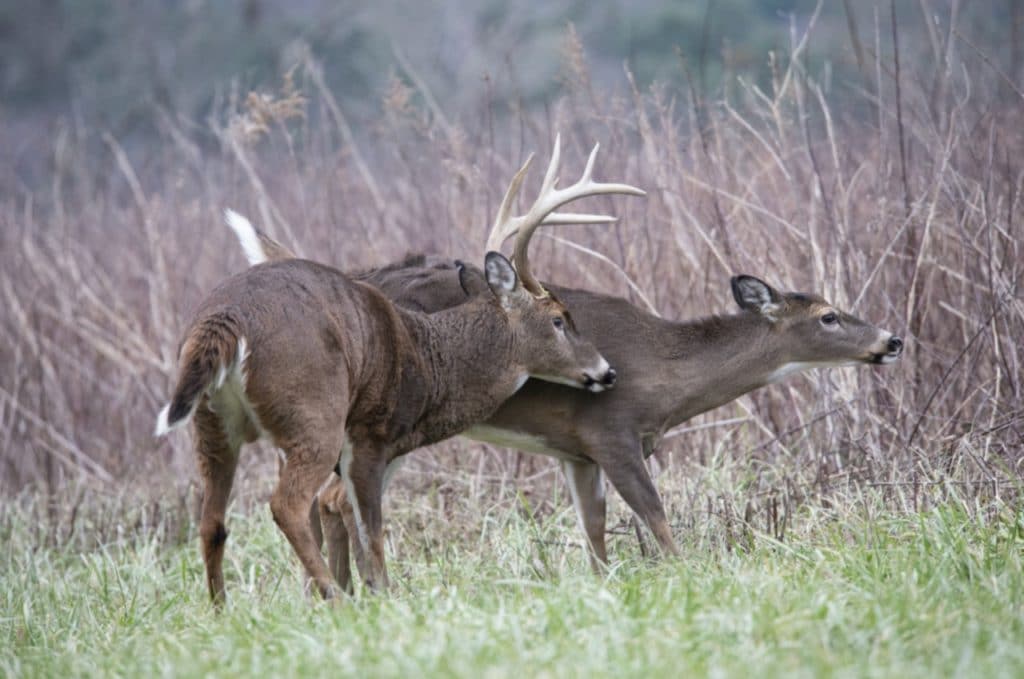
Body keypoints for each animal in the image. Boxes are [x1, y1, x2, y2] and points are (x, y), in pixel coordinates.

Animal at [153, 144, 642, 603]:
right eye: (560, 319)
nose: (607, 371)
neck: (429, 358)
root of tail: (227, 318)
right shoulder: (370, 435)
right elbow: (370, 530)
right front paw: (383, 597)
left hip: (211, 424)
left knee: (213, 521)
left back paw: (223, 609)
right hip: (313, 412)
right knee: (287, 504)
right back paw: (333, 598)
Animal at [229, 138, 904, 582]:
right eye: (828, 315)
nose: (891, 340)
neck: (667, 372)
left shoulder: (576, 454)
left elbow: (597, 535)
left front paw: (604, 591)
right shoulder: (613, 432)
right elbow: (658, 523)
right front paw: (690, 580)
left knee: (325, 502)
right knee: (333, 501)